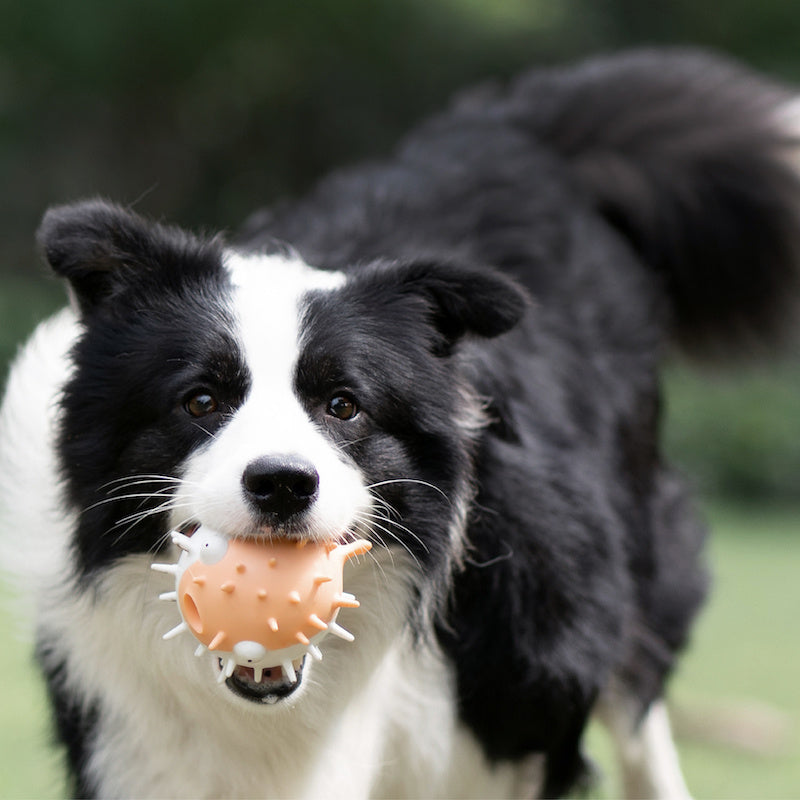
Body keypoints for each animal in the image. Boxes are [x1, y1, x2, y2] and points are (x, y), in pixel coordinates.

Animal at [1, 50, 800, 800]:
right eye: (199, 401)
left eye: (344, 405)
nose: (282, 484)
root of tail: (511, 129)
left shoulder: (514, 699)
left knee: (640, 695)